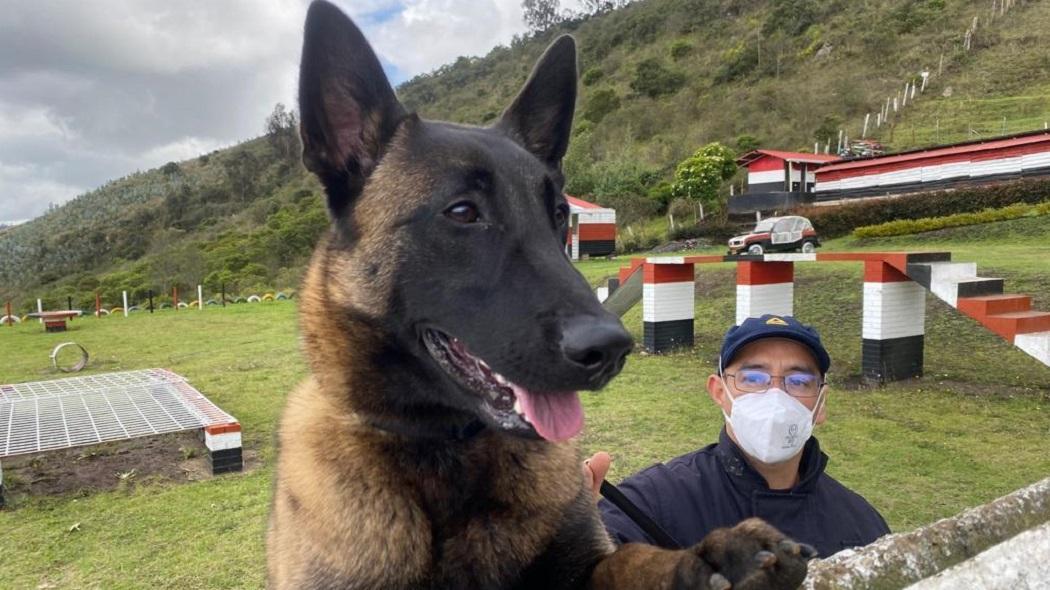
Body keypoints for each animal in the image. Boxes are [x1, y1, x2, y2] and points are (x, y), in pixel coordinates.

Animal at [268, 2, 810, 583]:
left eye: (558, 214)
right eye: (462, 212)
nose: (610, 350)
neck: (448, 448)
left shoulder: (588, 565)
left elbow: (634, 560)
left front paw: (707, 556)